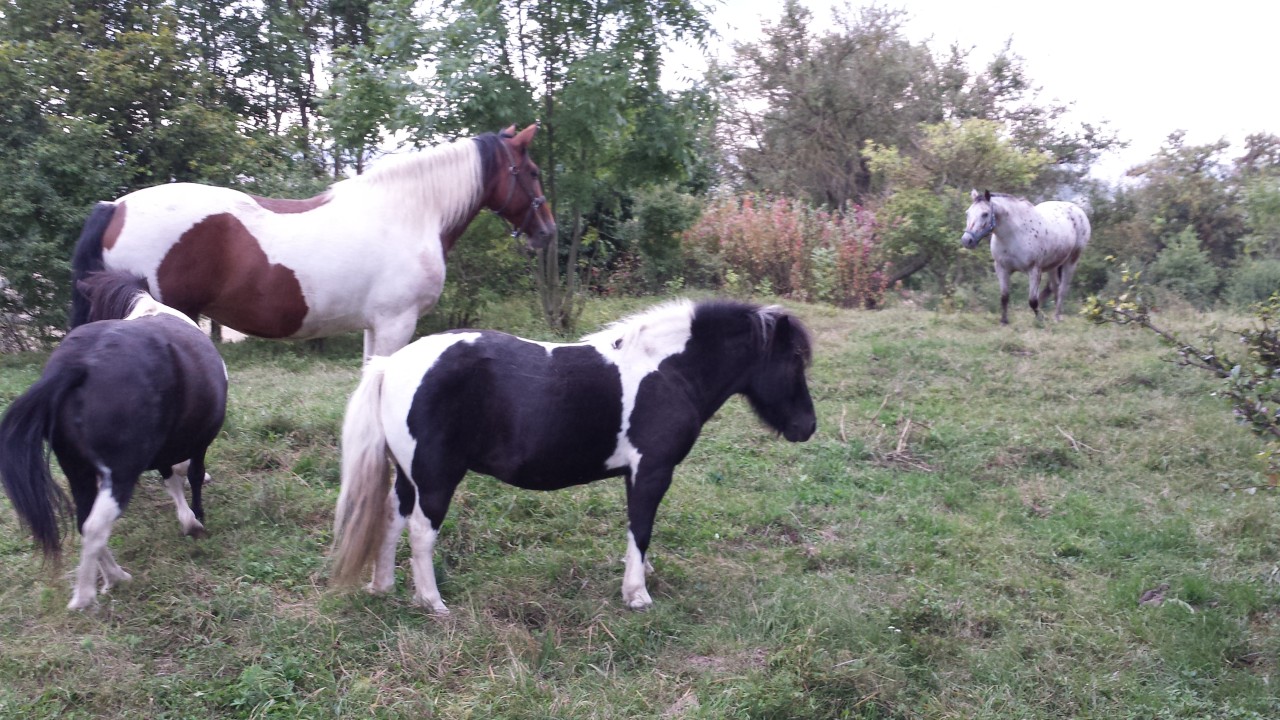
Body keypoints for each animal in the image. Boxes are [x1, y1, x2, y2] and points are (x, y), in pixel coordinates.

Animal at [0, 269, 227, 604]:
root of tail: (77, 366)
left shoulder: (162, 449)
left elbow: (171, 479)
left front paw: (187, 517)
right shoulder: (199, 441)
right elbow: (193, 475)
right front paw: (196, 519)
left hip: (77, 471)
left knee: (85, 522)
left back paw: (115, 576)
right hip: (119, 474)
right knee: (95, 527)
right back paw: (86, 595)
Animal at [66, 125, 555, 358]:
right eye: (532, 172)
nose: (548, 231)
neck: (410, 213)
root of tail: (116, 207)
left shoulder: (375, 326)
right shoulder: (396, 323)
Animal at [325, 297, 814, 609]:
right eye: (793, 359)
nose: (807, 427)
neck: (667, 371)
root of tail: (391, 364)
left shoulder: (637, 474)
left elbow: (639, 530)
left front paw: (643, 575)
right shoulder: (652, 471)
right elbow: (641, 528)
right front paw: (637, 594)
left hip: (409, 476)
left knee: (392, 520)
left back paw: (383, 587)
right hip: (435, 478)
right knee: (421, 534)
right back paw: (432, 603)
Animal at [962, 190, 1090, 325]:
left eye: (985, 214)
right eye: (967, 213)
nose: (967, 240)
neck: (1014, 234)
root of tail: (1078, 211)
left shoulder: (1034, 270)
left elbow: (1033, 300)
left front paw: (1041, 319)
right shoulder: (1002, 268)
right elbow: (1004, 296)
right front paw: (1004, 321)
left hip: (1071, 261)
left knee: (1063, 289)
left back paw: (1057, 317)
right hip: (1053, 265)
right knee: (1055, 287)